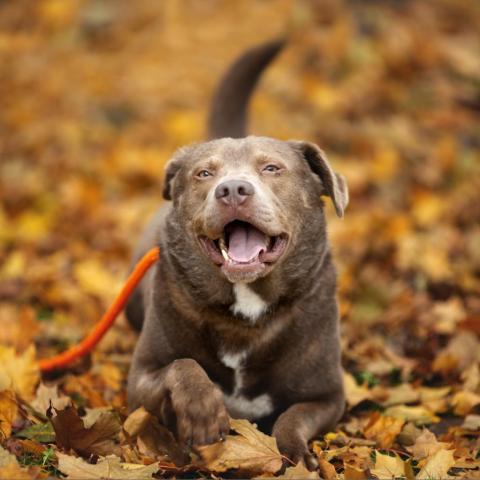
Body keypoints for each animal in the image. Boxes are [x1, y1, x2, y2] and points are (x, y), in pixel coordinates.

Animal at [124, 40, 348, 468]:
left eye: (272, 168)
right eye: (204, 174)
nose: (232, 190)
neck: (246, 312)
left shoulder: (327, 396)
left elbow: (291, 419)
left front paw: (296, 455)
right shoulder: (140, 376)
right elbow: (183, 365)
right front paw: (202, 410)